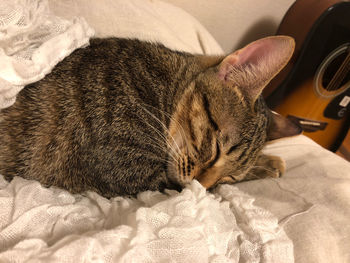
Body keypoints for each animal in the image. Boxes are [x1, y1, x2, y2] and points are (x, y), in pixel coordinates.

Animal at [0, 35, 300, 198]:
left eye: (230, 179)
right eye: (216, 149)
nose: (201, 186)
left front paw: (266, 162)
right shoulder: (138, 174)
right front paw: (268, 163)